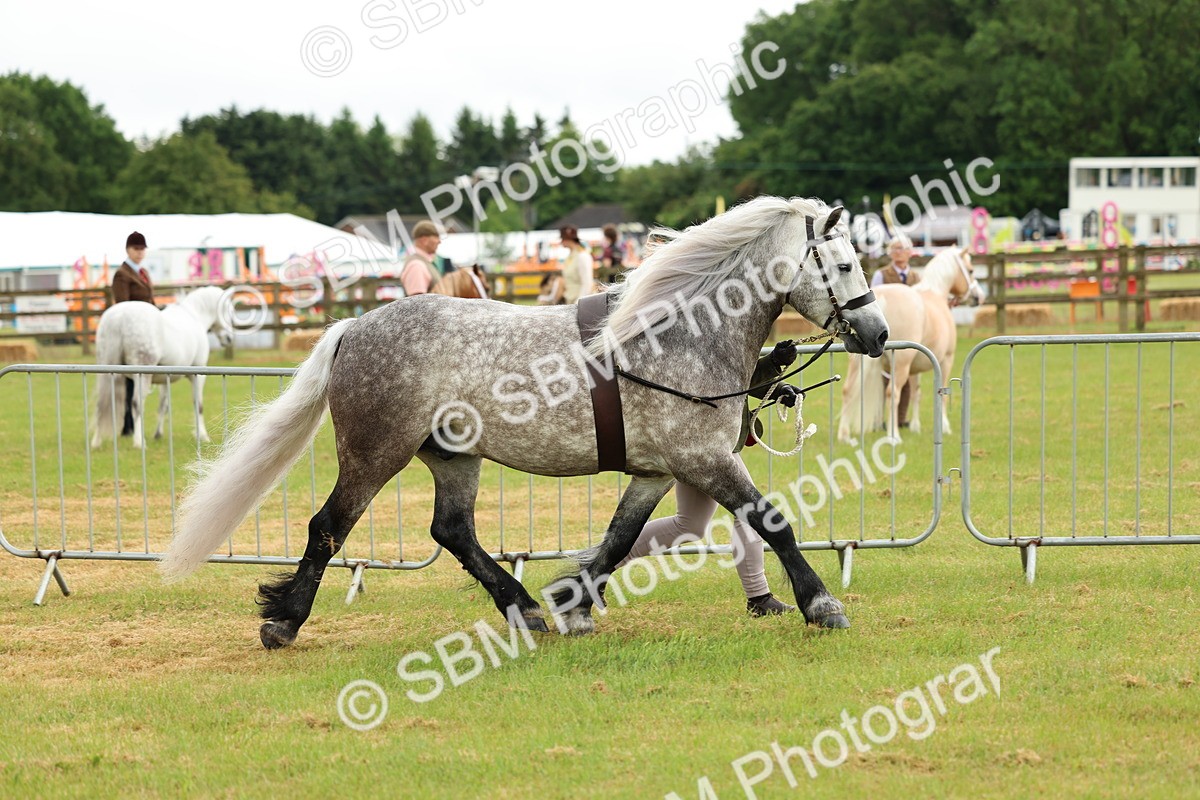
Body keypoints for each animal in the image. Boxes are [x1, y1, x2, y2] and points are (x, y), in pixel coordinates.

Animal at [91, 286, 232, 450]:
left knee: (101, 403)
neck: (194, 316)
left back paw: (96, 442)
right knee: (137, 404)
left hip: (107, 373)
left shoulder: (165, 380)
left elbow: (163, 406)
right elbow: (198, 405)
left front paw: (158, 434)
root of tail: (119, 318)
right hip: (141, 375)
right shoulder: (198, 375)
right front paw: (202, 436)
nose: (229, 338)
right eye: (227, 310)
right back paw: (139, 442)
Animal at [159, 196, 889, 649]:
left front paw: (573, 600)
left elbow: (621, 540)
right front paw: (821, 605)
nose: (879, 334)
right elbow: (772, 521)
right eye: (844, 263)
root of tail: (353, 327)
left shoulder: (657, 471)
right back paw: (284, 622)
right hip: (375, 454)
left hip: (453, 456)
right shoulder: (705, 460)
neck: (679, 334)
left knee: (451, 531)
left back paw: (526, 607)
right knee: (329, 527)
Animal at [837, 246, 983, 443]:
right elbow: (943, 394)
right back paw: (894, 436)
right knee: (892, 393)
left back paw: (844, 435)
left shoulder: (916, 366)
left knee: (848, 390)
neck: (936, 295)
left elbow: (916, 393)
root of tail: (882, 297)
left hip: (857, 363)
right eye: (971, 270)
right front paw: (944, 426)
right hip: (900, 364)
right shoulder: (945, 360)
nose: (979, 297)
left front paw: (915, 427)